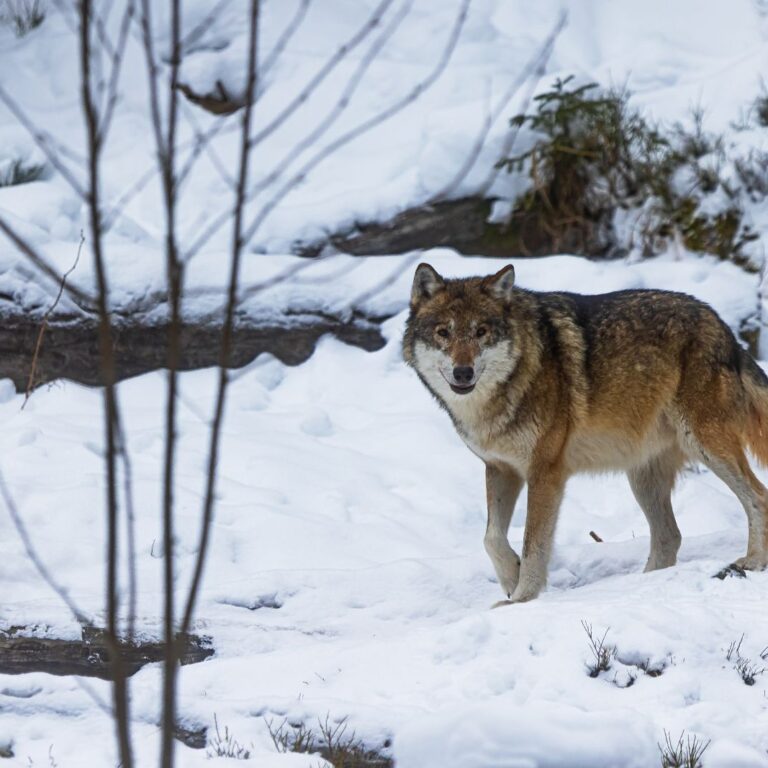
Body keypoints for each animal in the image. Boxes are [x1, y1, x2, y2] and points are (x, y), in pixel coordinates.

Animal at [402, 264, 768, 608]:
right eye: (443, 333)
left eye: (481, 332)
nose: (463, 372)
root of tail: (723, 327)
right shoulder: (500, 469)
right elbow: (491, 538)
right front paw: (510, 580)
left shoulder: (545, 473)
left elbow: (534, 544)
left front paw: (522, 599)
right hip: (642, 478)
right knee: (670, 537)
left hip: (705, 446)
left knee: (758, 497)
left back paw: (752, 562)